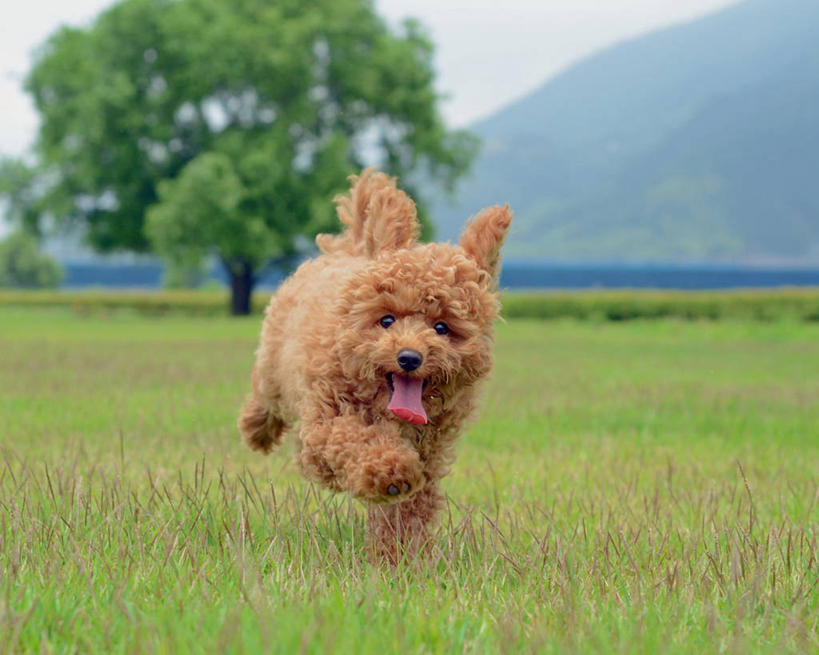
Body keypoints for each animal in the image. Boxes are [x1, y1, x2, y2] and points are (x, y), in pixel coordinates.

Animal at [235, 170, 512, 564]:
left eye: (442, 327)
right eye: (386, 320)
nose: (409, 357)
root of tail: (353, 251)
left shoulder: (429, 456)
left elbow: (406, 514)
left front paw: (398, 562)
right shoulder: (322, 429)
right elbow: (354, 438)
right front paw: (388, 470)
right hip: (274, 362)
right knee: (265, 394)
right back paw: (256, 429)